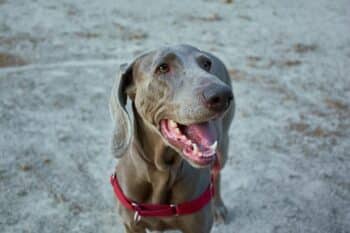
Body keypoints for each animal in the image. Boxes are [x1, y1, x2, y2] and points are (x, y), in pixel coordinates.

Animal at [109, 44, 235, 233]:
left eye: (206, 64)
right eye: (162, 67)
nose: (223, 95)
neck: (162, 172)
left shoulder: (198, 226)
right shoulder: (131, 224)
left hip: (223, 146)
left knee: (217, 172)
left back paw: (218, 206)